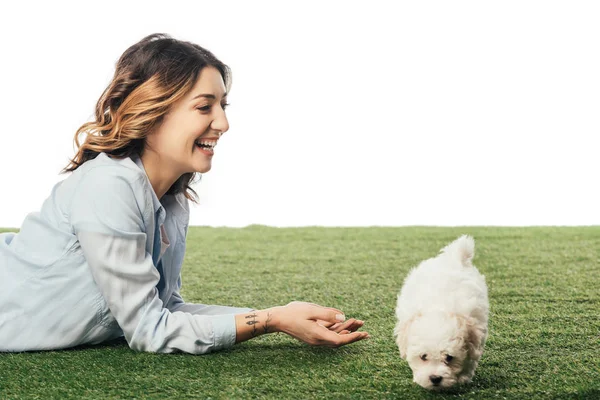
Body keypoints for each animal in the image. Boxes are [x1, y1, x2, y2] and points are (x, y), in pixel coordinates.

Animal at [394, 236, 488, 390]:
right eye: (423, 356)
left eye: (449, 357)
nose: (435, 378)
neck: (438, 309)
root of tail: (453, 258)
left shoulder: (476, 336)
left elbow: (470, 359)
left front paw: (463, 378)